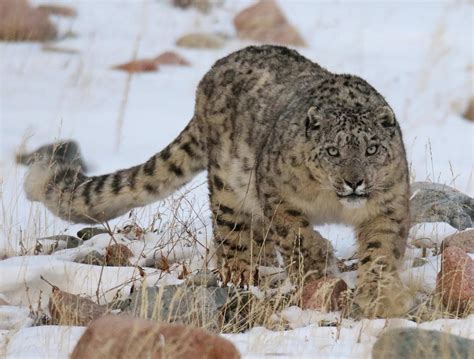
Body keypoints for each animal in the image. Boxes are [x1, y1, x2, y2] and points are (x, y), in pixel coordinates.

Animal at [24, 45, 412, 318]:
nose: (354, 182)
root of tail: (212, 72)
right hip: (229, 185)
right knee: (233, 232)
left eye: (372, 148)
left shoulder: (388, 204)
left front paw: (379, 297)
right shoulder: (276, 194)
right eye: (333, 150)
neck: (332, 204)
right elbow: (295, 233)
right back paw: (241, 271)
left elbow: (379, 249)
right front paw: (318, 259)